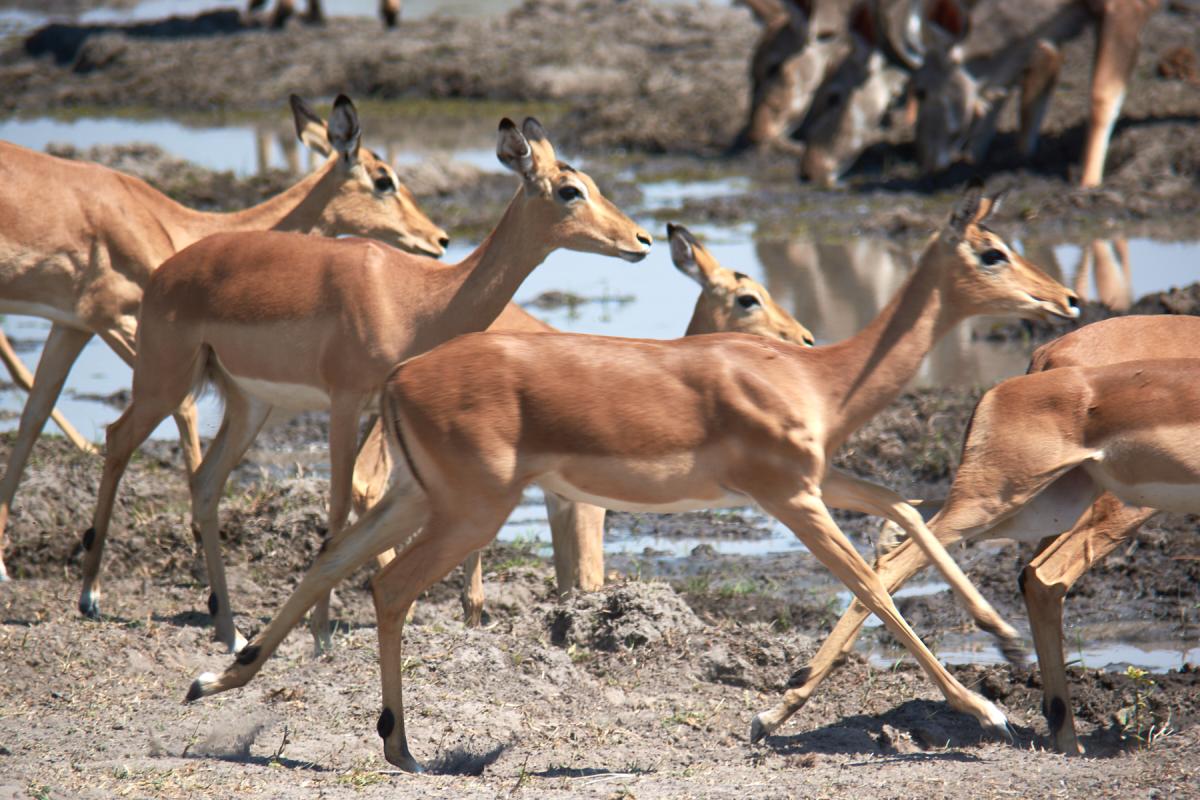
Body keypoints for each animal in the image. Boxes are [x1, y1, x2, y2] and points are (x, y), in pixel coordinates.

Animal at [0, 94, 447, 582]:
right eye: (384, 179)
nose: (440, 239)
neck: (173, 225)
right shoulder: (116, 321)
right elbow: (186, 411)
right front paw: (198, 541)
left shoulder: (73, 326)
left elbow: (33, 415)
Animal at [81, 117, 651, 653]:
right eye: (569, 190)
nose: (641, 240)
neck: (417, 300)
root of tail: (168, 270)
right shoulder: (345, 400)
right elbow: (337, 504)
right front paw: (321, 635)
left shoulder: (378, 407)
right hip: (164, 381)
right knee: (118, 438)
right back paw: (90, 597)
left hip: (249, 405)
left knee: (205, 482)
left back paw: (231, 631)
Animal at [351, 224, 815, 627]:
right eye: (748, 298)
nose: (805, 338)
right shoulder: (589, 504)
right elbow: (589, 578)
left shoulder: (559, 499)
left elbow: (566, 581)